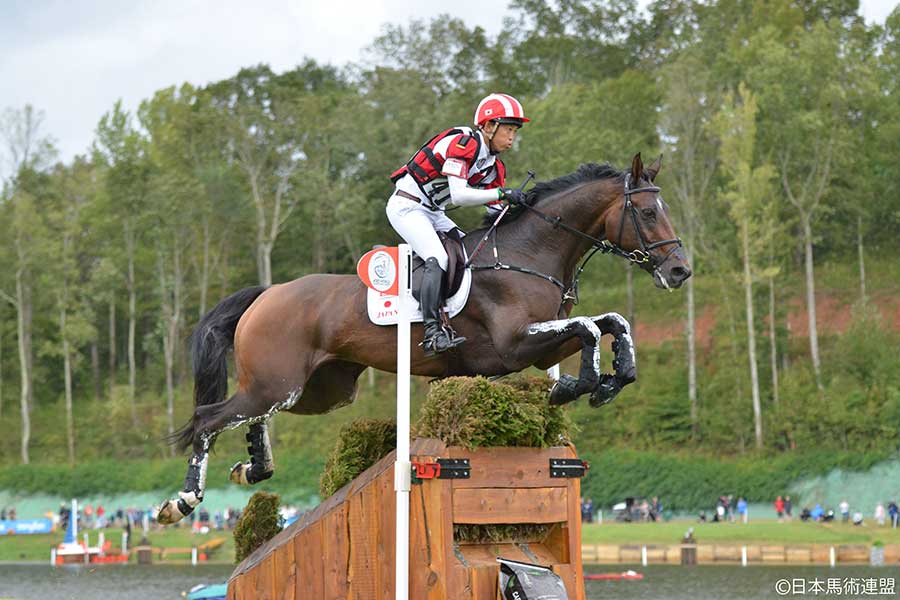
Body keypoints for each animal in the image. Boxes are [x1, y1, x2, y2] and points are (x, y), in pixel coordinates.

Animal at [156, 152, 688, 524]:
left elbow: (611, 322)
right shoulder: (516, 344)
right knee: (207, 419)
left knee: (255, 415)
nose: (680, 270)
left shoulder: (540, 347)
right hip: (280, 383)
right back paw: (181, 502)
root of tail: (268, 293)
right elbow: (590, 328)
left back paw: (252, 467)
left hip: (317, 390)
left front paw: (611, 379)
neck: (528, 252)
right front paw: (580, 386)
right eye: (647, 211)